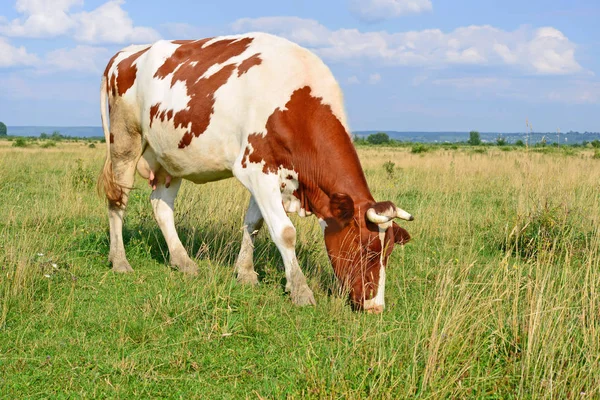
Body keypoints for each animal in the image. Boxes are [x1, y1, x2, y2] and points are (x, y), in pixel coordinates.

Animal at [98, 32, 412, 312]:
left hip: (168, 158)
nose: (375, 307)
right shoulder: (256, 168)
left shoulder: (268, 175)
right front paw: (300, 290)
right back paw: (120, 261)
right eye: (366, 248)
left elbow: (254, 225)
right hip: (124, 141)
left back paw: (183, 261)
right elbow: (285, 232)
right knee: (118, 201)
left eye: (389, 252)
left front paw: (246, 273)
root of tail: (125, 53)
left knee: (161, 206)